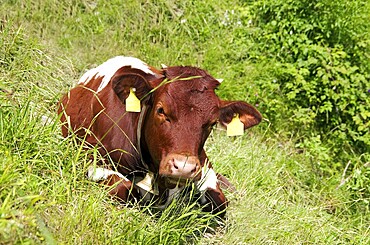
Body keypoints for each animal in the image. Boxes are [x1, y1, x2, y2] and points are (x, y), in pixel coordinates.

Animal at [57, 56, 262, 215]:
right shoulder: (88, 155)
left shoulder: (203, 163)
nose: (184, 168)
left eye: (212, 123)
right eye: (161, 110)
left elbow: (218, 201)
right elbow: (125, 188)